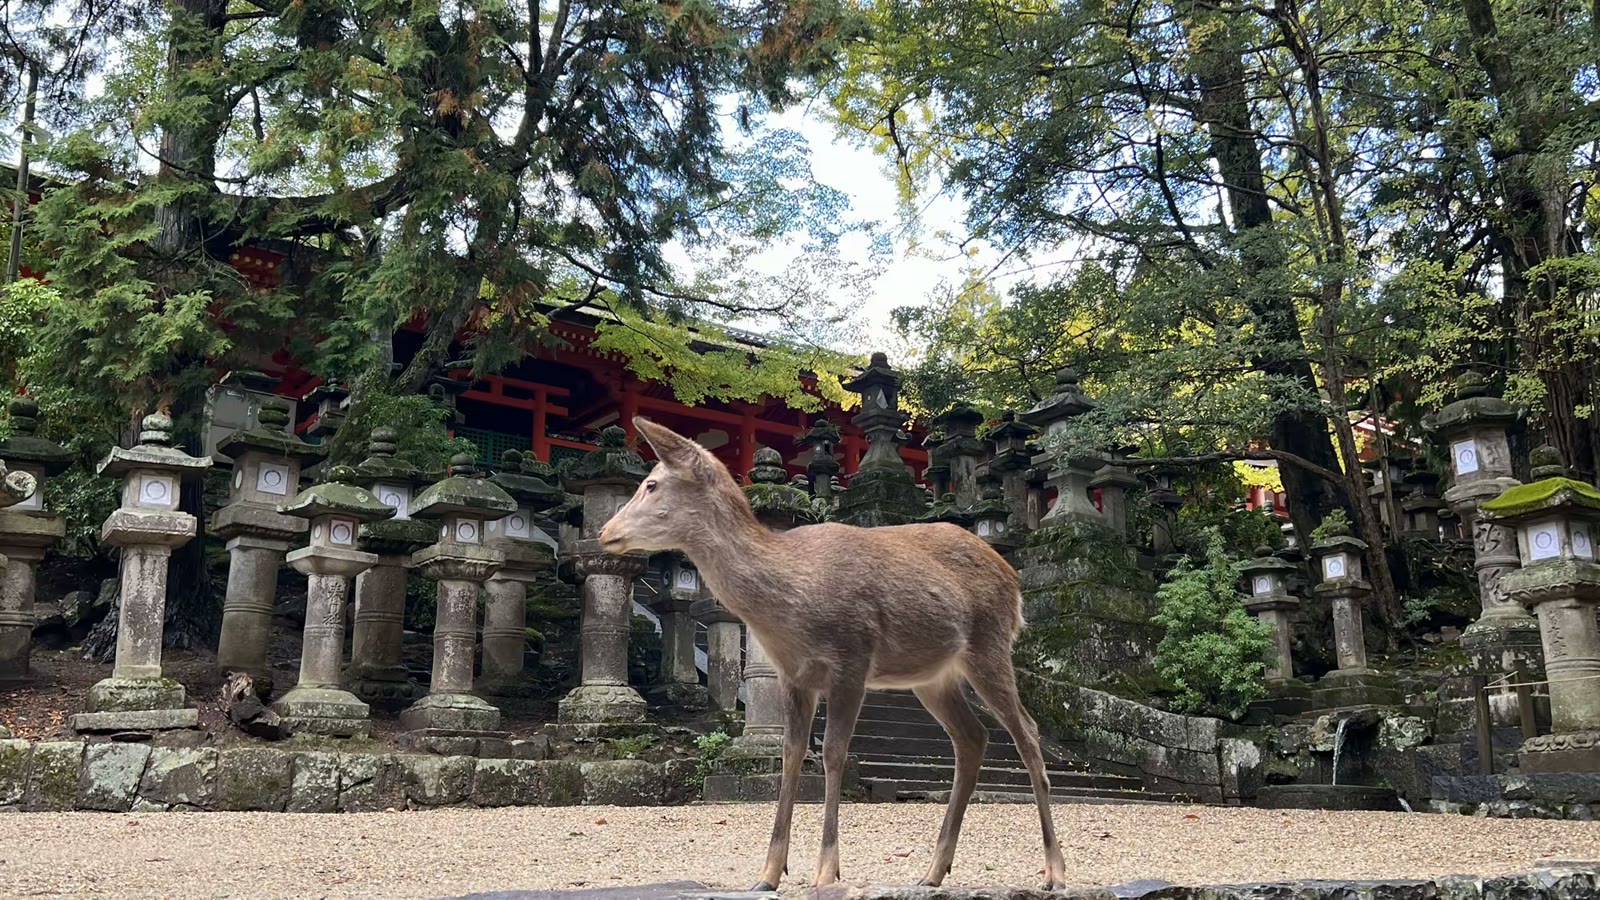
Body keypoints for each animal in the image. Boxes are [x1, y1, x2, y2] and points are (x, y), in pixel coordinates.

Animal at [598, 418, 1066, 891]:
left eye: (652, 483)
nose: (604, 532)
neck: (792, 606)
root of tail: (1014, 583)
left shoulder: (851, 661)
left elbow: (833, 754)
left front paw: (826, 871)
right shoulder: (794, 675)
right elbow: (790, 755)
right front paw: (768, 874)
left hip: (989, 645)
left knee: (1027, 731)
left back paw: (1054, 871)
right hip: (933, 677)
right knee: (973, 737)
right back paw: (932, 872)